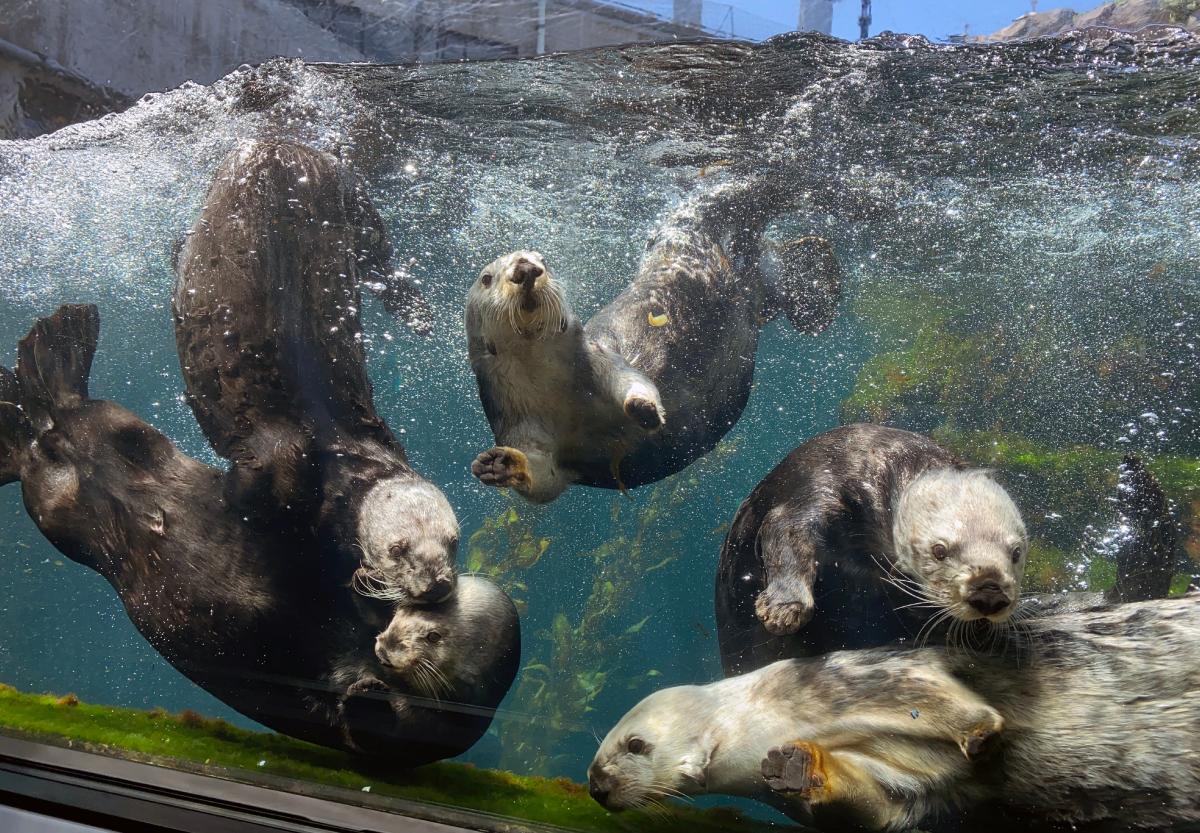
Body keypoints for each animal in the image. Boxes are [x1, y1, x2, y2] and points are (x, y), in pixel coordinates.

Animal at [175, 142, 456, 607]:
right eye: (398, 550)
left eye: (453, 541)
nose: (438, 583)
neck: (344, 459)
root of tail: (285, 144)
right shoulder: (284, 458)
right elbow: (251, 489)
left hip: (357, 208)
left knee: (381, 264)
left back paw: (419, 315)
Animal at [463, 180, 840, 506]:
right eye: (487, 278)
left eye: (544, 260)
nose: (525, 267)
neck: (556, 390)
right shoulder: (519, 424)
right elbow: (544, 480)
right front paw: (500, 465)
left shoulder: (601, 361)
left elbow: (632, 381)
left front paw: (643, 408)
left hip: (694, 245)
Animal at [590, 597, 1200, 830]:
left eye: (634, 745)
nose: (595, 786)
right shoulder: (901, 787)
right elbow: (880, 808)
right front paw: (797, 769)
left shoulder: (863, 679)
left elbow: (942, 697)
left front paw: (981, 733)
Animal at [715, 424, 1176, 676]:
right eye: (939, 550)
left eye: (1016, 552)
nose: (989, 590)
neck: (881, 463)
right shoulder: (819, 484)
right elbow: (787, 534)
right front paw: (784, 606)